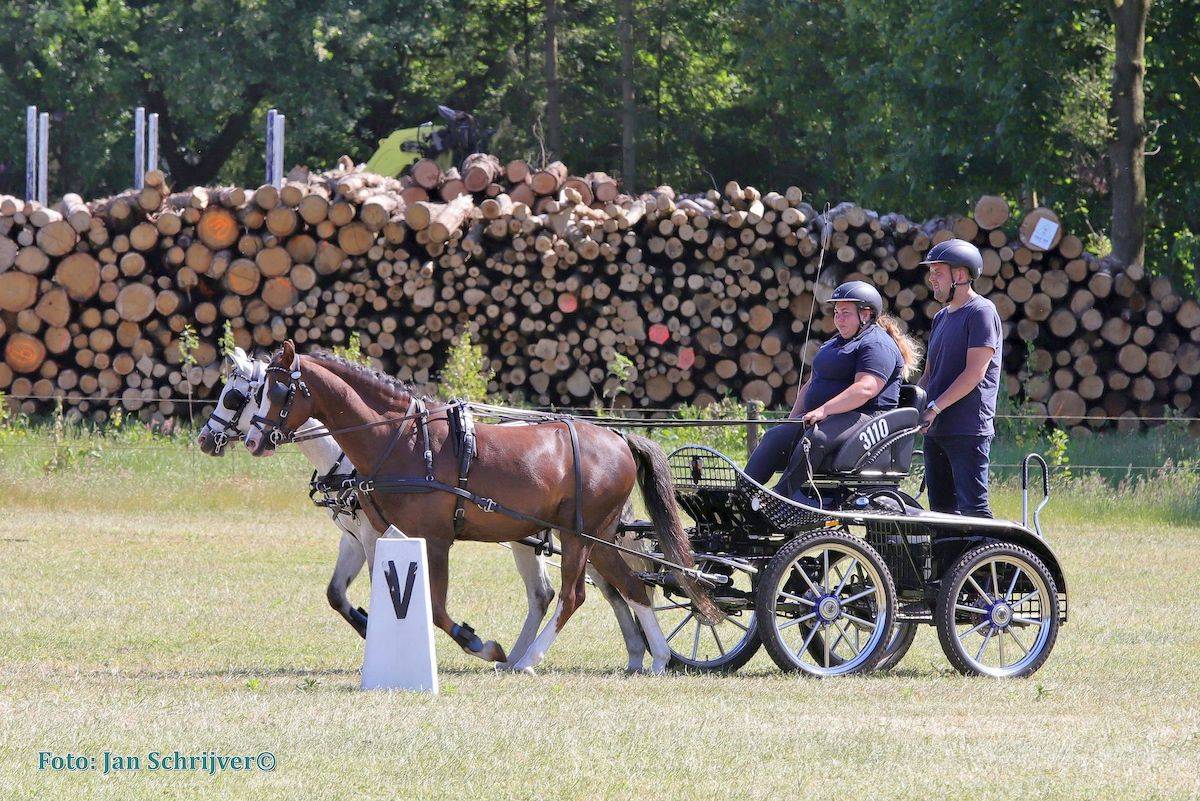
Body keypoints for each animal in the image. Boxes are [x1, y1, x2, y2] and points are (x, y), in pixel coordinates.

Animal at [243, 341, 720, 673]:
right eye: (254, 391)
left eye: (278, 390)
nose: (252, 440)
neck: (403, 440)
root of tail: (619, 438)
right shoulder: (380, 533)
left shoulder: (434, 539)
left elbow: (436, 608)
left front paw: (481, 645)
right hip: (597, 536)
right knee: (632, 587)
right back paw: (657, 659)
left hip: (577, 535)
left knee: (574, 595)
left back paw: (529, 660)